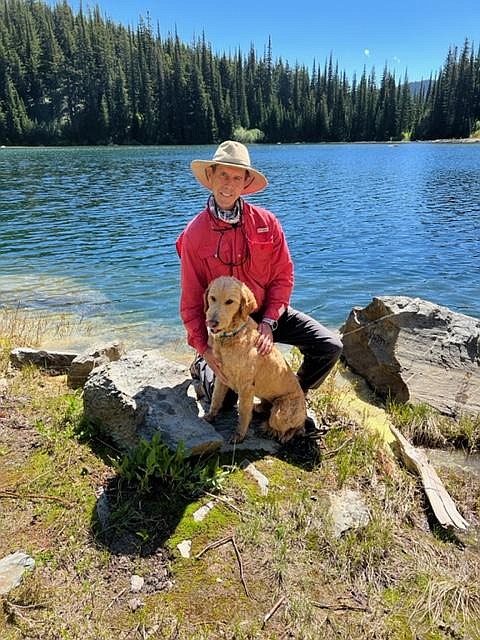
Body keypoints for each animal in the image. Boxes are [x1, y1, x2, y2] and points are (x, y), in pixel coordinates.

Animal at [203, 276, 308, 444]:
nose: (211, 323)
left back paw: (274, 430)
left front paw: (239, 435)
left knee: (294, 428)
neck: (232, 335)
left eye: (229, 301)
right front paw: (210, 416)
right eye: (212, 298)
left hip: (280, 413)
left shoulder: (246, 387)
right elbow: (216, 398)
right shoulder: (221, 376)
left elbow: (243, 414)